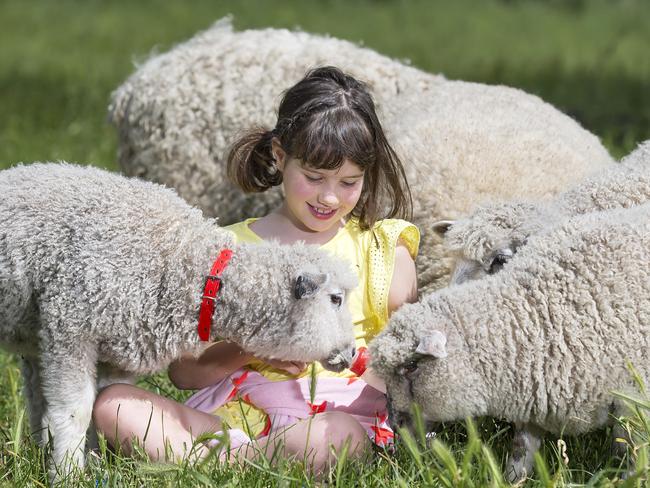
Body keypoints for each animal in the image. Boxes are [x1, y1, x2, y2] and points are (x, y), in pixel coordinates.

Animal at [0, 163, 354, 476]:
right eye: (335, 298)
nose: (352, 353)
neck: (195, 270)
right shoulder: (70, 326)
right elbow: (75, 412)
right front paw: (69, 474)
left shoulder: (120, 351)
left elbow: (102, 405)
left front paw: (95, 463)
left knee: (36, 395)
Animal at [370, 204, 648, 482]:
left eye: (411, 366)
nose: (395, 425)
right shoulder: (534, 388)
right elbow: (520, 450)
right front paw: (512, 480)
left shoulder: (632, 401)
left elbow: (632, 451)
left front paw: (626, 478)